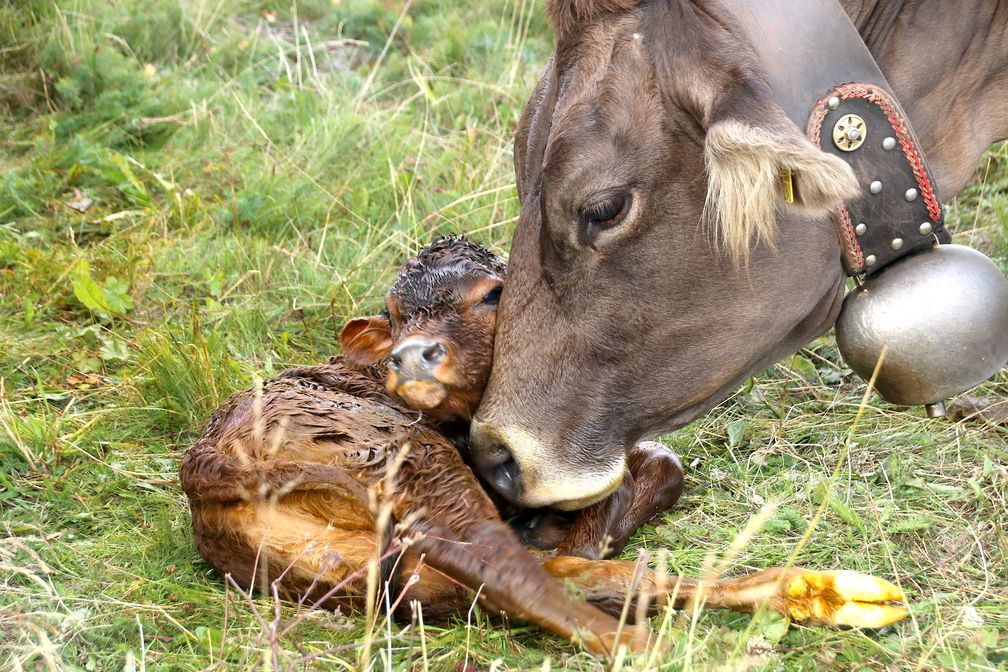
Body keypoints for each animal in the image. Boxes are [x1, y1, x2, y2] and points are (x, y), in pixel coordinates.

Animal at [179, 237, 907, 656]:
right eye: (395, 314)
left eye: (494, 294)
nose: (412, 354)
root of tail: (207, 461)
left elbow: (658, 470)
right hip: (405, 458)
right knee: (505, 567)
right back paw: (669, 647)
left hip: (374, 564)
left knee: (536, 577)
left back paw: (820, 593)